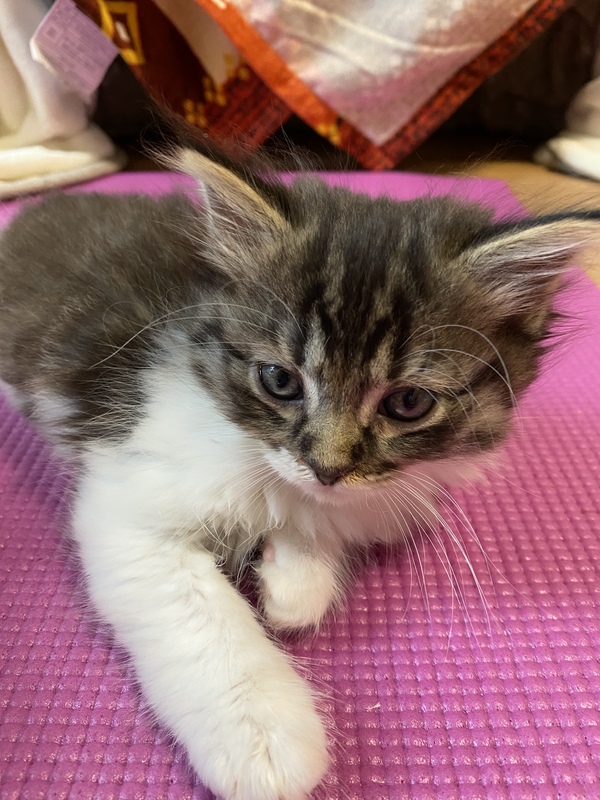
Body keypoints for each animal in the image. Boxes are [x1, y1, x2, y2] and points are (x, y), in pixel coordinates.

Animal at [0, 146, 596, 800]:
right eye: (279, 381)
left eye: (408, 403)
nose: (327, 467)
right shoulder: (129, 497)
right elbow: (199, 619)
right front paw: (263, 735)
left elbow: (316, 531)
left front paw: (293, 581)